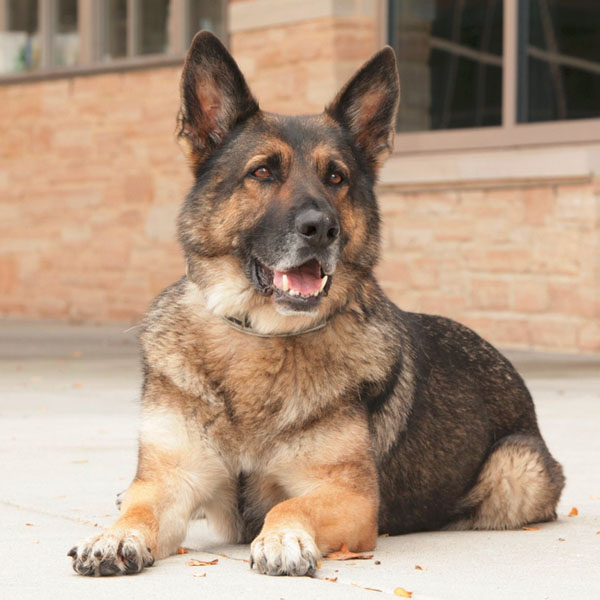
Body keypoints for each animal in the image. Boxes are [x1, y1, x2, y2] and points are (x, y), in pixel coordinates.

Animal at [68, 31, 564, 576]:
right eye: (263, 171)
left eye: (336, 178)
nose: (322, 229)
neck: (261, 336)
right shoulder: (171, 478)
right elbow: (143, 505)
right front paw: (115, 535)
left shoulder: (348, 497)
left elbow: (289, 505)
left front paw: (283, 537)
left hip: (515, 472)